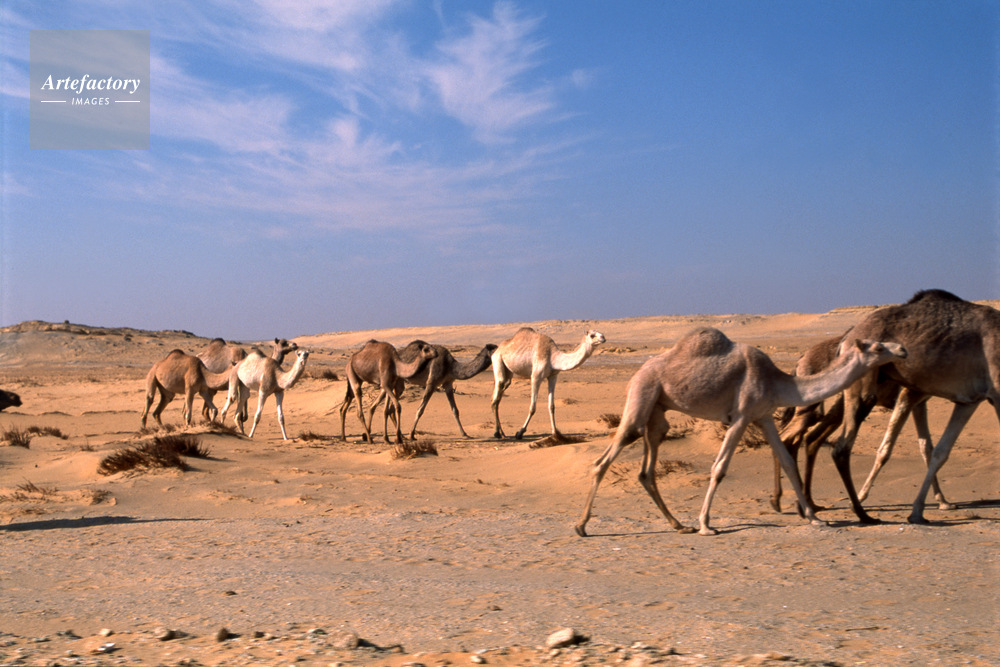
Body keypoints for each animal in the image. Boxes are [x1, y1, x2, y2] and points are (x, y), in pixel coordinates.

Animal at [371, 341, 499, 439]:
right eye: (495, 348)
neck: (451, 366)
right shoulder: (432, 382)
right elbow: (420, 410)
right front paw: (411, 435)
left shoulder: (448, 383)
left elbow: (455, 410)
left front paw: (465, 434)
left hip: (399, 383)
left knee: (391, 408)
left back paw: (400, 435)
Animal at [574, 327, 907, 537]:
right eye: (878, 346)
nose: (902, 349)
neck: (777, 380)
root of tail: (637, 374)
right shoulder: (742, 415)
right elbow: (719, 468)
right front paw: (706, 525)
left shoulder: (764, 417)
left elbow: (788, 462)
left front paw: (815, 518)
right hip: (641, 396)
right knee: (604, 459)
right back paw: (581, 526)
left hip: (657, 413)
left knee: (646, 471)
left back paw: (678, 525)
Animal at [825, 289, 1000, 525]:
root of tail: (847, 337)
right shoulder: (996, 392)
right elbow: (890, 448)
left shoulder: (968, 400)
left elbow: (938, 451)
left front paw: (926, 508)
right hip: (861, 389)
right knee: (842, 447)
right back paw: (859, 510)